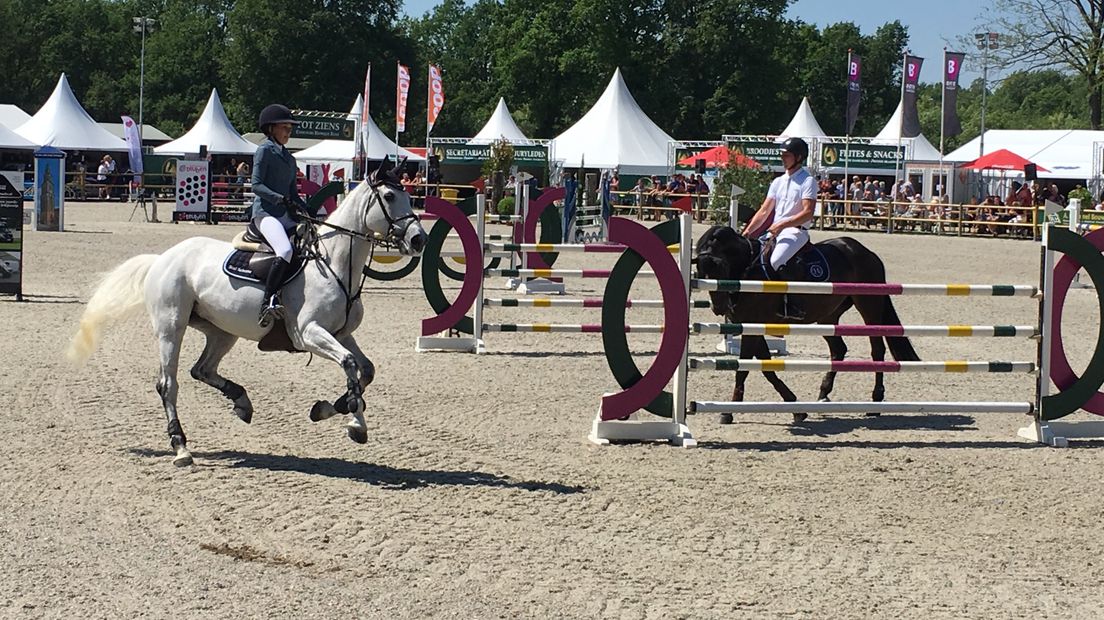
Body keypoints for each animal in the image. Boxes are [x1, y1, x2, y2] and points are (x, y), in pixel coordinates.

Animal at [65, 163, 426, 463]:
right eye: (390, 196)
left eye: (410, 195)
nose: (419, 239)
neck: (334, 263)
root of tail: (162, 258)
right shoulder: (309, 333)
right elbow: (351, 366)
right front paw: (355, 423)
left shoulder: (341, 334)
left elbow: (366, 370)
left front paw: (329, 409)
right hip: (171, 327)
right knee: (168, 383)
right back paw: (180, 446)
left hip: (222, 331)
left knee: (202, 369)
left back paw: (241, 402)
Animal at [693, 223, 918, 421]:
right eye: (702, 273)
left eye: (721, 268)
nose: (719, 308)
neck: (746, 271)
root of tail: (865, 251)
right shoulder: (752, 327)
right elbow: (767, 368)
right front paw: (795, 407)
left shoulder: (752, 327)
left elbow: (744, 369)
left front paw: (727, 412)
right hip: (828, 316)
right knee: (839, 349)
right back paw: (824, 394)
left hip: (868, 307)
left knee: (877, 350)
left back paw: (875, 400)